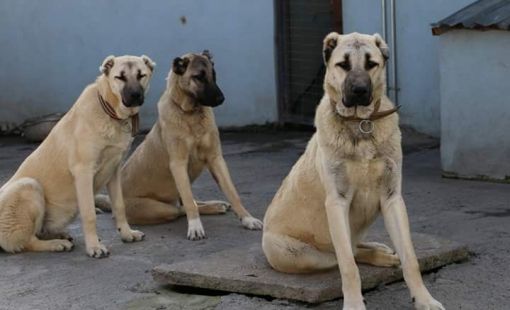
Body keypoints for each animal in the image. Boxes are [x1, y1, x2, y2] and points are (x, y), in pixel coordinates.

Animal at [0, 55, 155, 256]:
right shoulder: (84, 172)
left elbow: (119, 206)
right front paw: (94, 247)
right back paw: (56, 244)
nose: (135, 96)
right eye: (120, 77)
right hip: (29, 186)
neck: (109, 111)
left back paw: (59, 236)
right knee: (27, 241)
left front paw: (127, 233)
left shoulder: (114, 171)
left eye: (141, 75)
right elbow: (89, 214)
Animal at [96, 50, 262, 240]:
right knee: (180, 208)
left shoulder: (216, 160)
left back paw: (215, 205)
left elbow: (232, 193)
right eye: (198, 77)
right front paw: (195, 227)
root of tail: (112, 204)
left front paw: (247, 219)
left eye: (214, 75)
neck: (191, 113)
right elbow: (189, 203)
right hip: (160, 208)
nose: (221, 99)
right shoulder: (178, 164)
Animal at [260, 32, 444, 308]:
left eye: (371, 64)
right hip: (297, 253)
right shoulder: (337, 203)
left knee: (357, 246)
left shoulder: (392, 199)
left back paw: (382, 251)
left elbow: (410, 258)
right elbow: (348, 265)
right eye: (343, 65)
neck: (361, 123)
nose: (359, 91)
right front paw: (355, 303)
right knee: (344, 254)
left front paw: (424, 299)